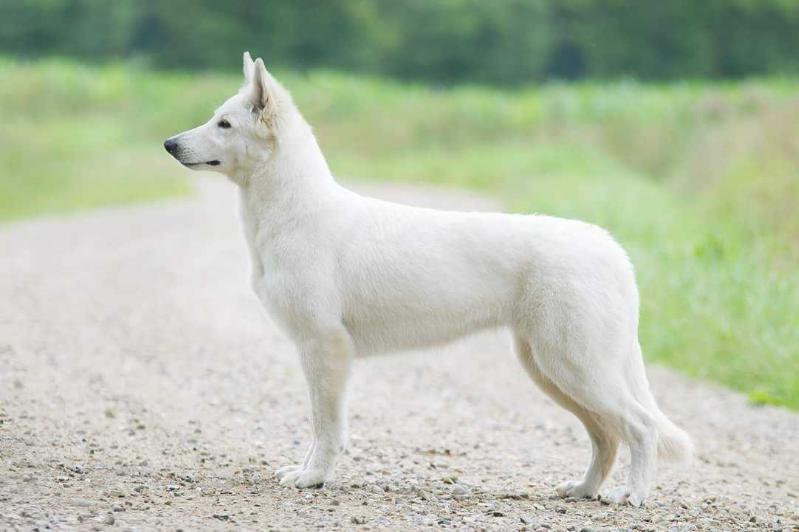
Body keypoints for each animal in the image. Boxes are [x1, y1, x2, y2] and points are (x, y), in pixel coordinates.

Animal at [166, 54, 692, 508]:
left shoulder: (325, 347)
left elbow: (326, 426)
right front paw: (306, 471)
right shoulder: (314, 350)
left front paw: (313, 478)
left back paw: (633, 496)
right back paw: (583, 490)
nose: (170, 144)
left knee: (639, 427)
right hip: (551, 369)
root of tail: (611, 249)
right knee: (606, 436)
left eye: (224, 124)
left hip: (576, 365)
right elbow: (318, 426)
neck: (291, 212)